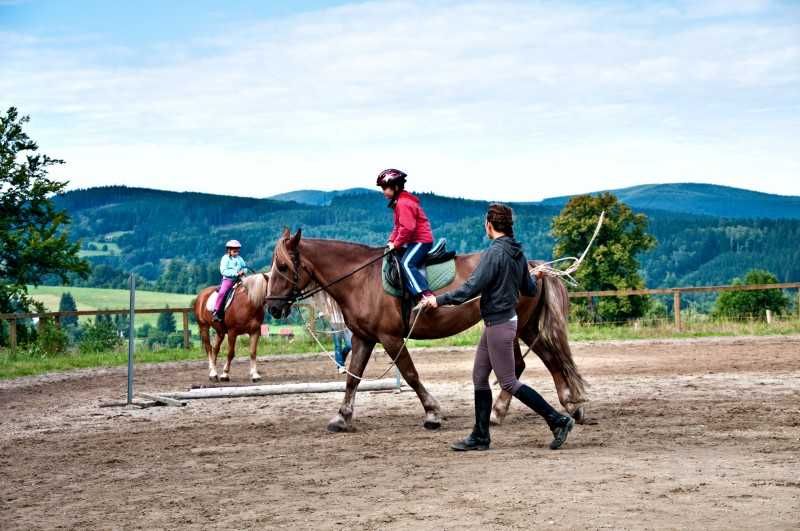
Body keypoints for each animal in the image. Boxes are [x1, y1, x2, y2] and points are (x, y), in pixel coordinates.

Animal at [266, 229, 584, 432]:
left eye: (282, 265)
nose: (272, 307)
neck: (360, 279)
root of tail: (532, 267)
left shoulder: (390, 338)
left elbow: (410, 374)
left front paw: (433, 413)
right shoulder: (363, 338)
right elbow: (352, 378)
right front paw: (342, 418)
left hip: (515, 326)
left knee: (521, 365)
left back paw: (501, 412)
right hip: (525, 326)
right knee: (547, 360)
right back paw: (569, 406)